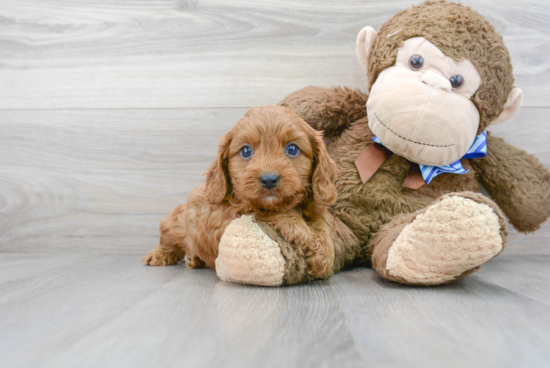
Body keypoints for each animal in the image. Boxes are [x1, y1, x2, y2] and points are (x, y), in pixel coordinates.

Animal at [142, 105, 338, 278]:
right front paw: (300, 229)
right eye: (245, 151)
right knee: (168, 242)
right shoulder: (227, 216)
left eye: (292, 148)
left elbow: (323, 226)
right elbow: (262, 210)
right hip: (174, 222)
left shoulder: (317, 210)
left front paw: (324, 255)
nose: (268, 179)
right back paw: (159, 255)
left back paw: (194, 259)